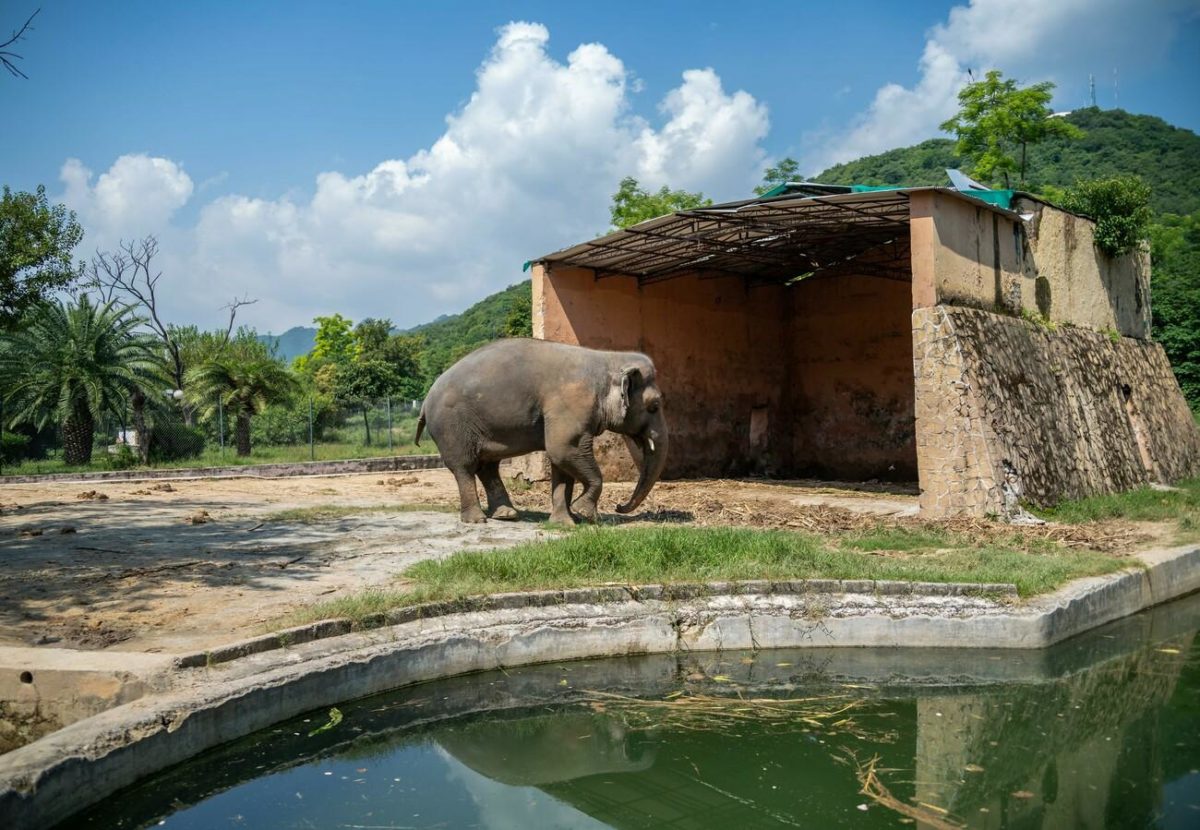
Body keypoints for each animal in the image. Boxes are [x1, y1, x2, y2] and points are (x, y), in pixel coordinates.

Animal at [415, 338, 672, 525]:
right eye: (654, 406)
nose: (619, 507)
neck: (607, 359)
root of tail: (425, 401)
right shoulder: (570, 406)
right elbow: (563, 450)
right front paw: (586, 515)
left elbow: (562, 463)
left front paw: (565, 523)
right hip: (451, 426)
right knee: (465, 466)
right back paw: (477, 520)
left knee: (488, 466)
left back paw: (507, 515)